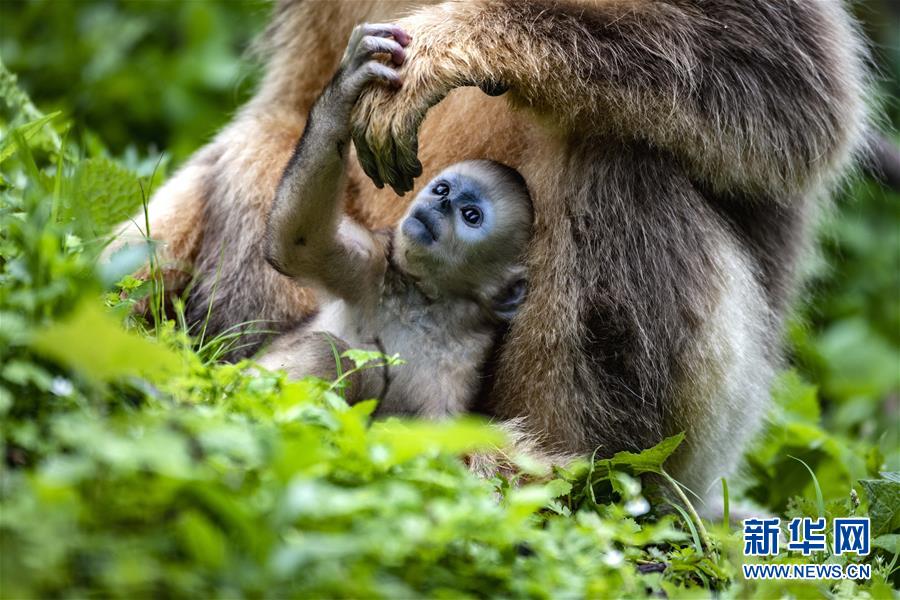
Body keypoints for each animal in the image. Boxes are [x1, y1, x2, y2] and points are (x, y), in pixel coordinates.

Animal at [256, 24, 532, 418]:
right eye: (443, 189)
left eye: (471, 215)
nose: (440, 203)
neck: (425, 305)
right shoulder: (373, 265)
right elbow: (297, 242)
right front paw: (346, 89)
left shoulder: (459, 375)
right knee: (327, 350)